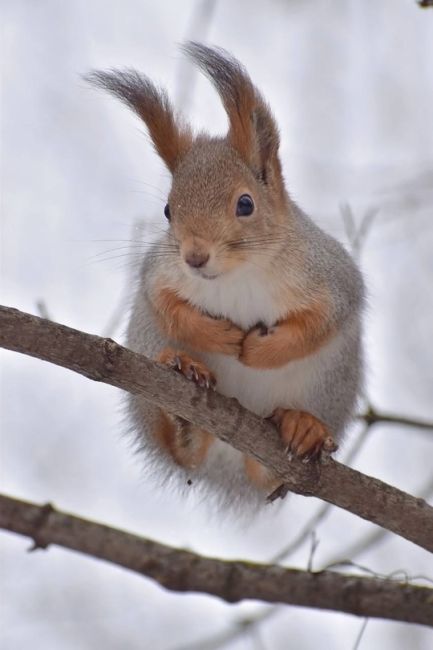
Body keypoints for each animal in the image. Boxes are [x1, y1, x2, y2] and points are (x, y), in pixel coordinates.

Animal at [88, 41, 364, 512]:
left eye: (246, 204)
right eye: (168, 210)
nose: (195, 257)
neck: (238, 275)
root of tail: (227, 463)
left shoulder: (331, 278)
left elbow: (319, 324)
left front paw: (257, 351)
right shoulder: (159, 271)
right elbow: (166, 305)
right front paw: (218, 337)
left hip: (331, 384)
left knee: (275, 475)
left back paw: (301, 428)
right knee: (182, 452)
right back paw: (183, 398)